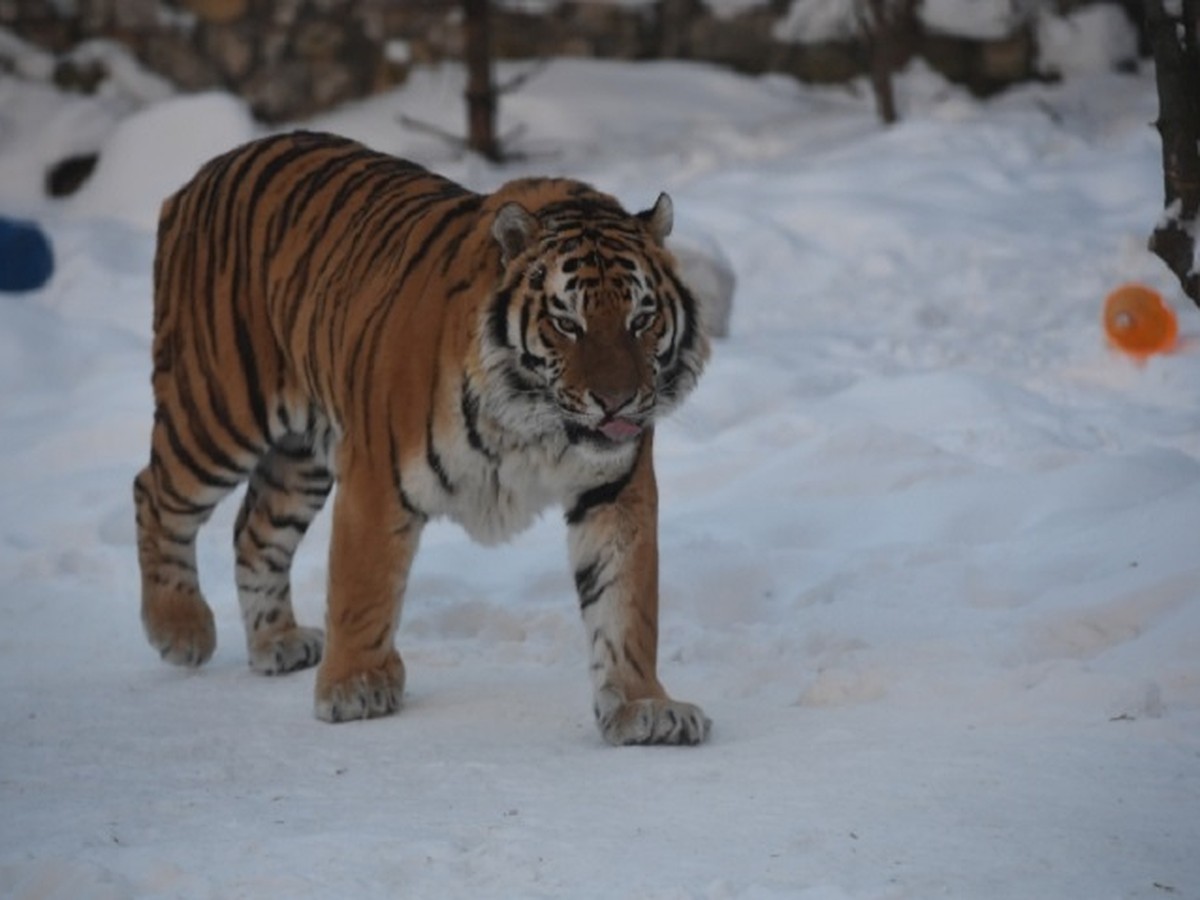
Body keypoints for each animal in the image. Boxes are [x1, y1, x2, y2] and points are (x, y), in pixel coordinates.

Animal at [131, 128, 710, 748]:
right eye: (567, 323)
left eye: (641, 319)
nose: (617, 401)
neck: (536, 425)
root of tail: (202, 175)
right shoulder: (376, 476)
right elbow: (363, 588)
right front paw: (355, 686)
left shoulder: (615, 490)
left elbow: (626, 604)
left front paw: (643, 705)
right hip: (216, 410)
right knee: (154, 492)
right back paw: (180, 628)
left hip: (301, 456)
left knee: (254, 529)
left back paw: (276, 642)